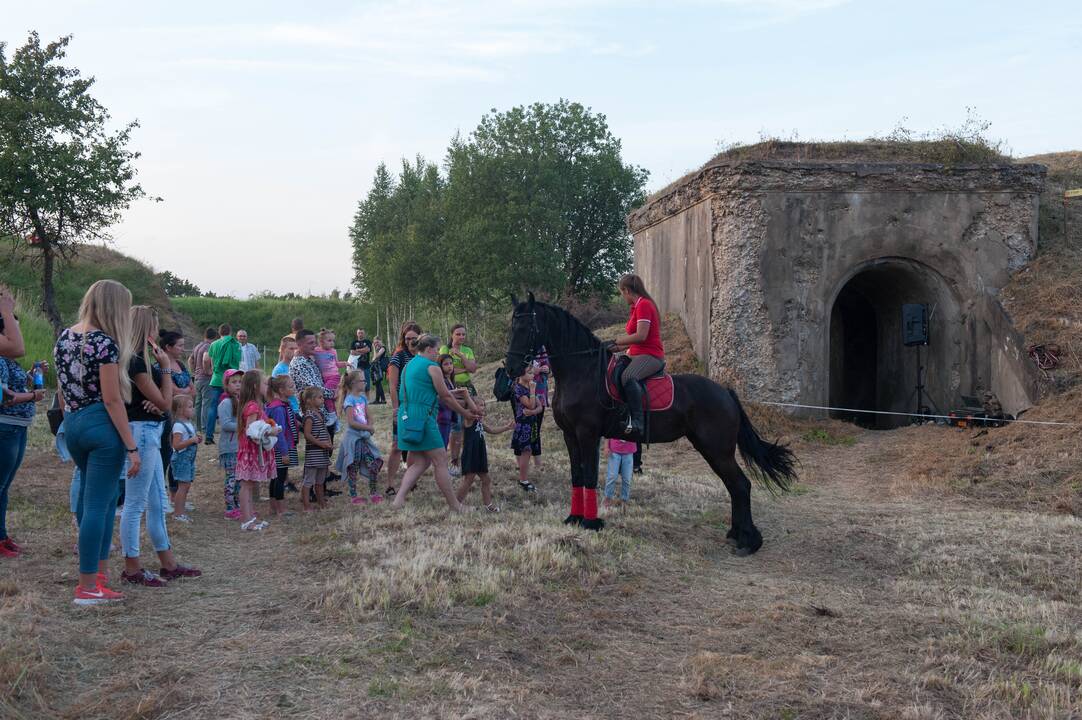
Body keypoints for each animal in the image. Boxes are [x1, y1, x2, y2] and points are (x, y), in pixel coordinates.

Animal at [504, 292, 796, 554]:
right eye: (511, 327)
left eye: (527, 328)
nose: (511, 368)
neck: (582, 372)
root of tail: (726, 392)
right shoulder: (570, 436)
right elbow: (576, 475)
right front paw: (574, 518)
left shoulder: (588, 435)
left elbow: (589, 477)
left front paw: (591, 522)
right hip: (710, 448)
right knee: (734, 486)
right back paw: (737, 534)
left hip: (718, 449)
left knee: (741, 485)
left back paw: (749, 542)